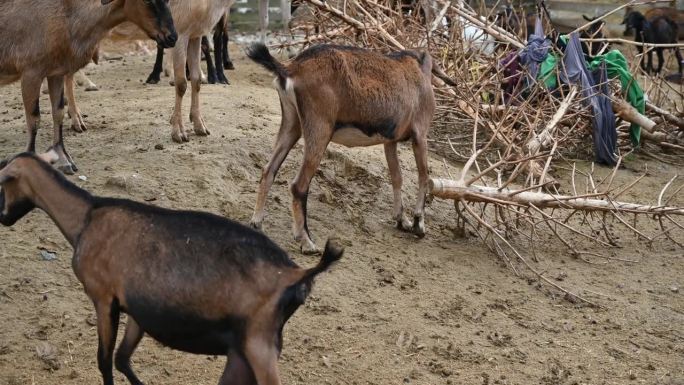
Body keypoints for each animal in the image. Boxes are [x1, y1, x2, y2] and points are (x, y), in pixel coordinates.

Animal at [0, 0, 176, 172]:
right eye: (148, 1)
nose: (172, 37)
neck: (67, 16)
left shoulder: (55, 72)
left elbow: (58, 113)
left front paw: (65, 160)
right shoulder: (31, 73)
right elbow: (34, 119)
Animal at [0, 151, 342, 384]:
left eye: (2, 186)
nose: (3, 218)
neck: (86, 217)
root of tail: (296, 274)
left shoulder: (103, 298)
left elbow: (104, 361)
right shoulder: (137, 308)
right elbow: (122, 359)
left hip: (259, 344)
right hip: (245, 351)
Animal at [248, 43, 436, 254]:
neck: (418, 69)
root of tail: (291, 68)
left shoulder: (390, 141)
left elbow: (397, 177)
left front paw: (402, 220)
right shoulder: (420, 135)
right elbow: (424, 177)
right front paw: (418, 224)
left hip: (291, 123)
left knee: (268, 170)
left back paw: (257, 223)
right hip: (319, 129)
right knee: (299, 185)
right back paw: (306, 242)